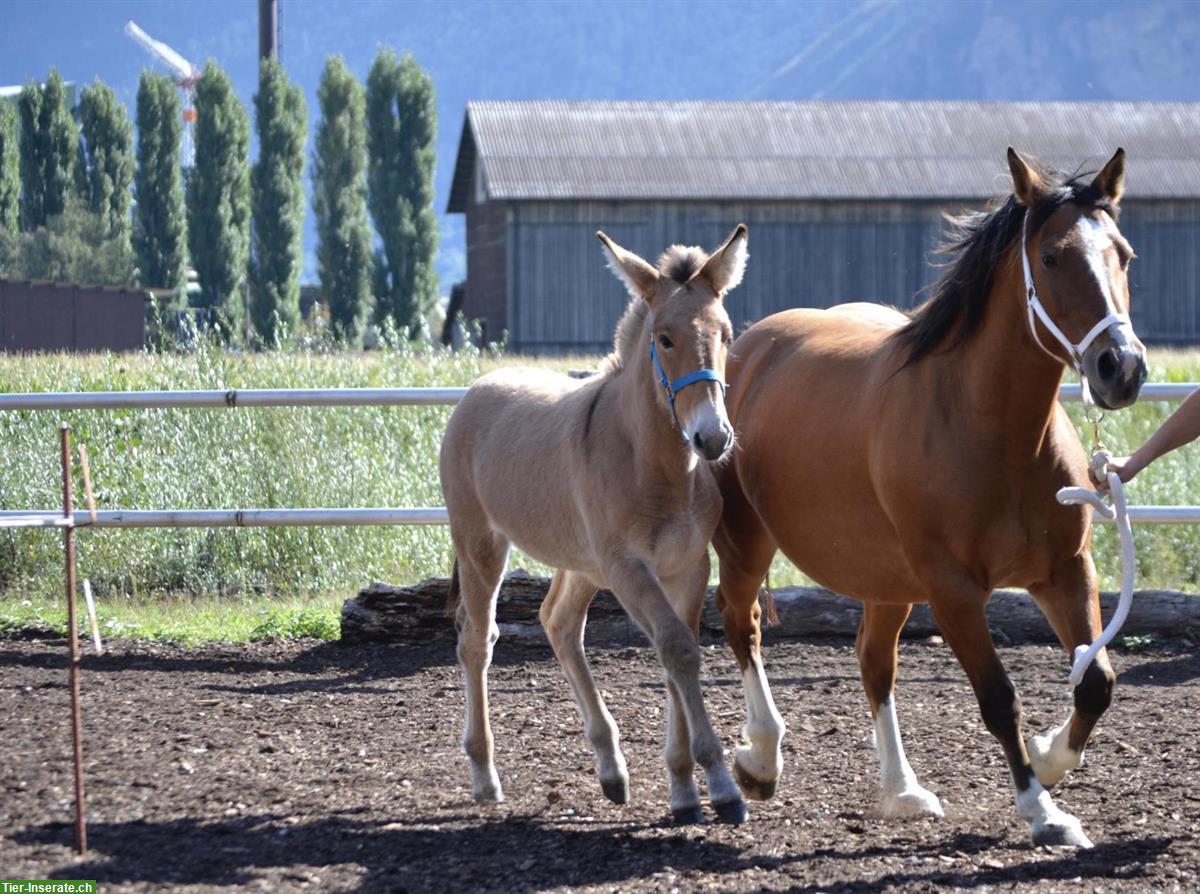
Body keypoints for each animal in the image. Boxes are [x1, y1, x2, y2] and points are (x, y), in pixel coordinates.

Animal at [444, 224, 748, 820]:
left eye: (725, 334)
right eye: (664, 338)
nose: (712, 437)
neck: (652, 465)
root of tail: (479, 388)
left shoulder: (688, 567)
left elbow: (677, 656)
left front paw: (683, 787)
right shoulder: (629, 569)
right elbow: (676, 649)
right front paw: (721, 786)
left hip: (582, 565)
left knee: (558, 624)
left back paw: (611, 770)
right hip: (481, 546)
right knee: (477, 641)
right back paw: (485, 776)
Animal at [710, 148, 1142, 844]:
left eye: (1123, 254)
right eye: (1052, 257)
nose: (1121, 368)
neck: (992, 430)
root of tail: (751, 345)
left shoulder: (1066, 572)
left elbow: (1095, 681)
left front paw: (1049, 760)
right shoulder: (953, 590)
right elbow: (998, 698)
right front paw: (1042, 811)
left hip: (886, 580)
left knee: (872, 661)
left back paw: (902, 790)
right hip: (748, 544)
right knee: (741, 625)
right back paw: (760, 759)